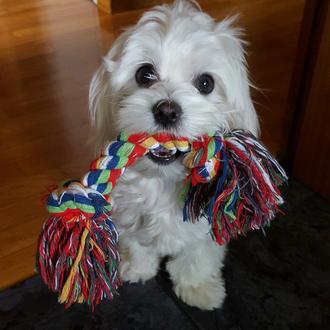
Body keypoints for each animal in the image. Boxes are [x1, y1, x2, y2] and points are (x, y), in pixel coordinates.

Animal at [89, 0, 260, 310]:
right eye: (144, 74)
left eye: (206, 83)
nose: (166, 111)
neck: (162, 180)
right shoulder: (127, 212)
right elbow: (135, 242)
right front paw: (137, 267)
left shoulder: (205, 223)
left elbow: (198, 256)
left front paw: (198, 287)